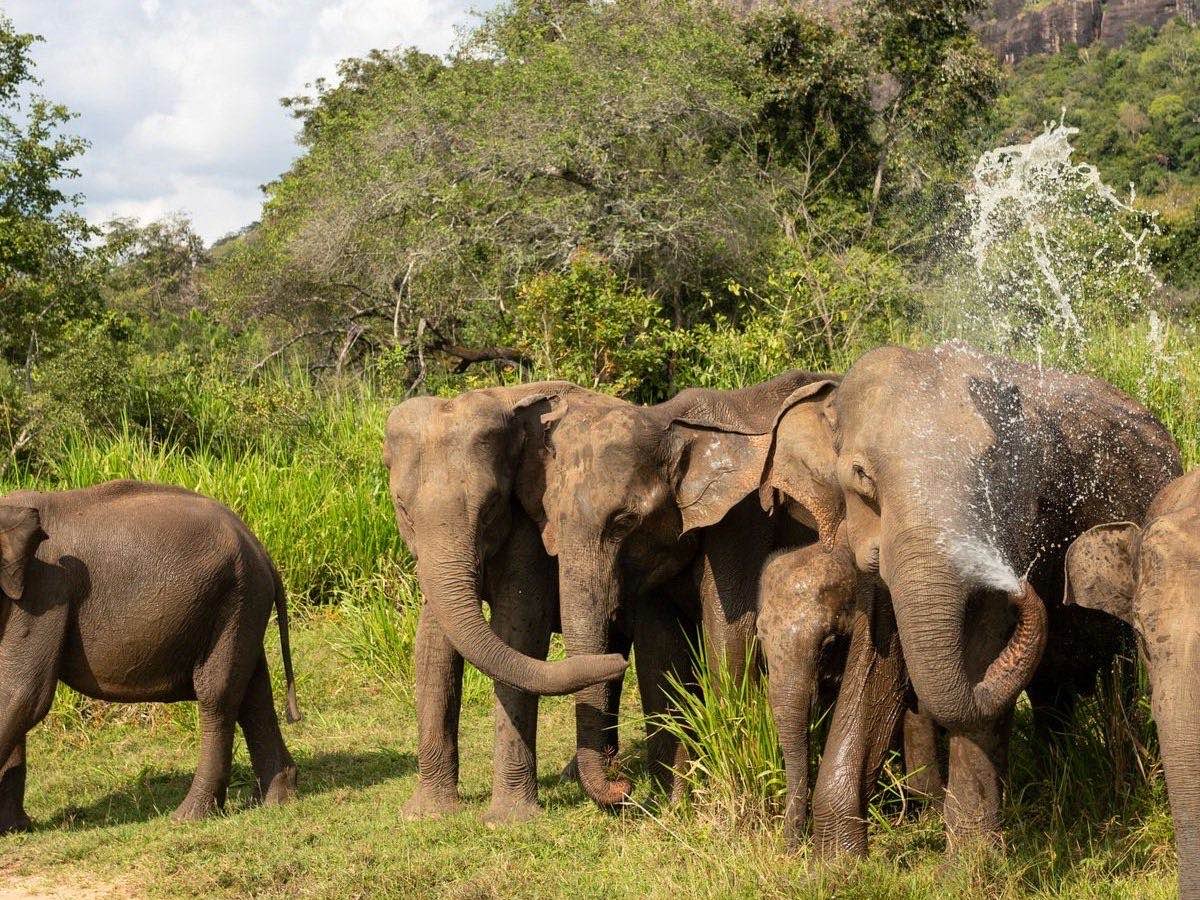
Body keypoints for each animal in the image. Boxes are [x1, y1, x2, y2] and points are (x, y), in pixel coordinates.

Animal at [0, 480, 300, 832]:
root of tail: (262, 550)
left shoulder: (45, 589)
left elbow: (24, 693)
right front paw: (14, 828)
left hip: (234, 599)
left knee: (217, 695)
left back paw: (189, 816)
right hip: (244, 603)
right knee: (254, 694)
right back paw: (277, 799)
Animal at [382, 382, 641, 822]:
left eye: (490, 508)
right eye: (403, 510)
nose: (627, 791)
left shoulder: (530, 528)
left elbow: (519, 633)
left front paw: (507, 821)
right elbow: (432, 646)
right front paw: (426, 815)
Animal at [817, 341, 1180, 850]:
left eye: (990, 476)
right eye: (861, 474)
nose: (1025, 586)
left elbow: (982, 649)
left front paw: (969, 861)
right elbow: (874, 662)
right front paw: (835, 858)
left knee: (1120, 682)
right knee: (1053, 692)